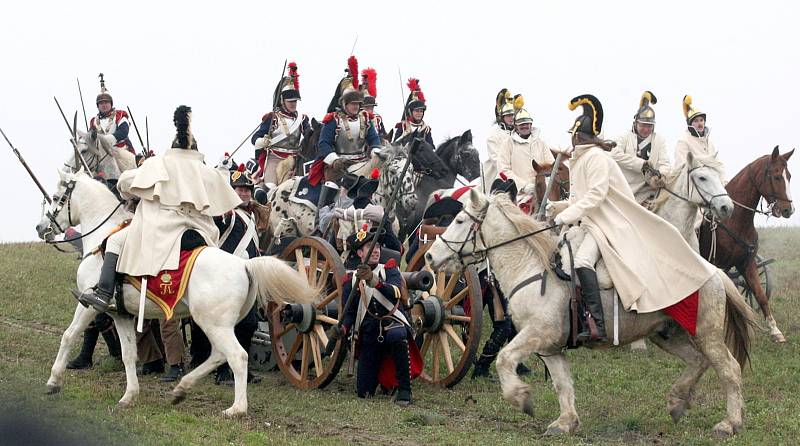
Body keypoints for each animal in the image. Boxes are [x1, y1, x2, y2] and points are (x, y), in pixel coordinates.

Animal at [36, 169, 318, 416]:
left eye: (56, 197)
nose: (41, 228)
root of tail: (244, 264)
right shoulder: (122, 315)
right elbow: (129, 355)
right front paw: (129, 396)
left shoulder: (88, 304)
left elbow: (69, 335)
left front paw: (53, 381)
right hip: (216, 324)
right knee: (219, 355)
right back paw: (182, 389)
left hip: (213, 323)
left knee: (237, 356)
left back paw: (236, 409)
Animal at [424, 190, 756, 438]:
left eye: (459, 219)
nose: (429, 255)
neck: (533, 269)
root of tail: (713, 272)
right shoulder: (550, 348)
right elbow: (562, 384)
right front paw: (565, 423)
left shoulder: (535, 335)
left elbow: (505, 359)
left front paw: (520, 397)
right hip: (667, 334)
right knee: (697, 361)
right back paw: (677, 401)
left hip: (707, 333)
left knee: (729, 369)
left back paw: (729, 424)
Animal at [700, 146, 792, 342]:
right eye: (776, 176)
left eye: (789, 176)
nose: (789, 210)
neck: (734, 220)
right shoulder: (715, 264)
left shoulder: (746, 263)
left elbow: (760, 295)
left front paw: (775, 331)